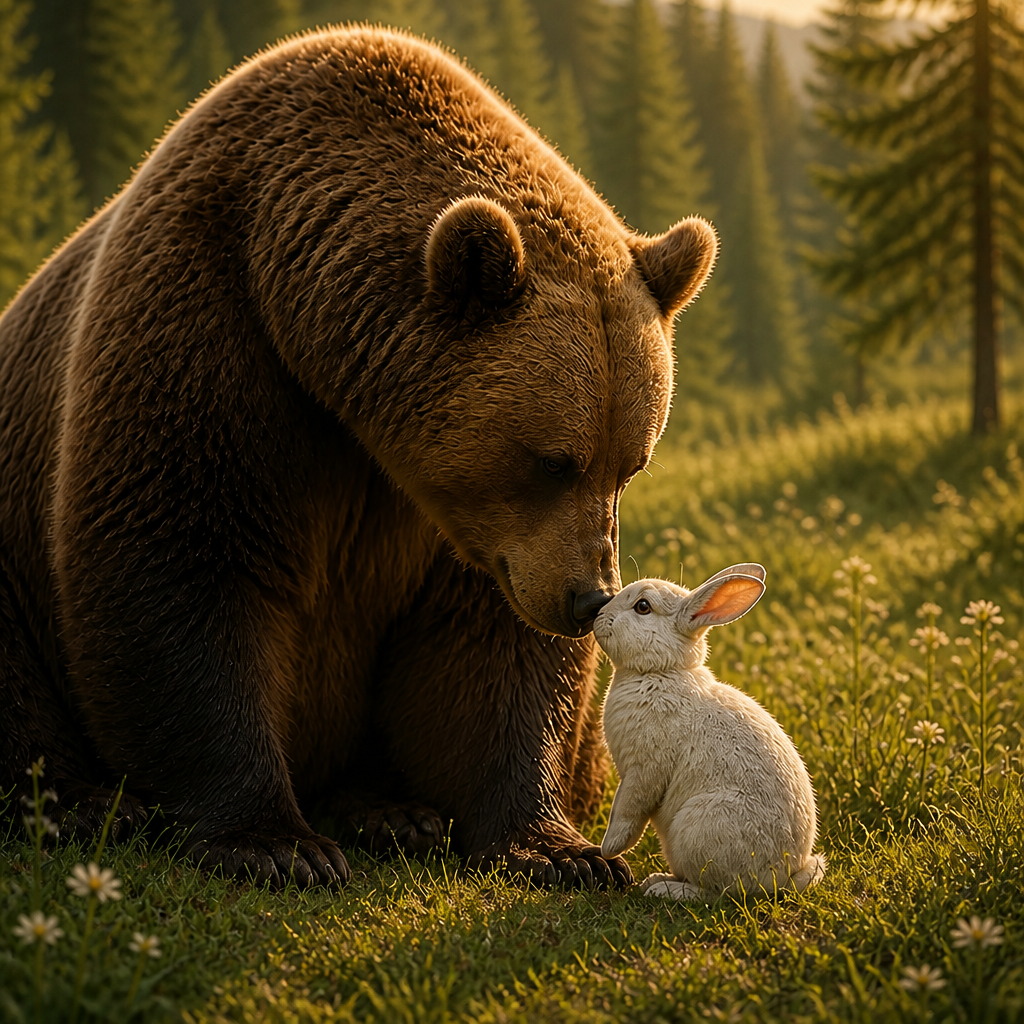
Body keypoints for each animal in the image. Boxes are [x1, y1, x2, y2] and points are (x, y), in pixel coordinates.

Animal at [0, 27, 717, 888]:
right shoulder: (209, 341)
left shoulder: (454, 529)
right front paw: (275, 843)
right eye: (553, 460)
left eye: (630, 464)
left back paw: (388, 810)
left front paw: (558, 849)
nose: (587, 599)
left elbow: (487, 656)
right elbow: (179, 569)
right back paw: (74, 803)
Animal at [593, 564, 826, 901]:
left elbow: (628, 808)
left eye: (643, 607)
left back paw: (663, 889)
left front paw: (609, 848)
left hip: (699, 829)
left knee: (718, 892)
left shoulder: (645, 768)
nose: (598, 616)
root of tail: (778, 878)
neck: (660, 672)